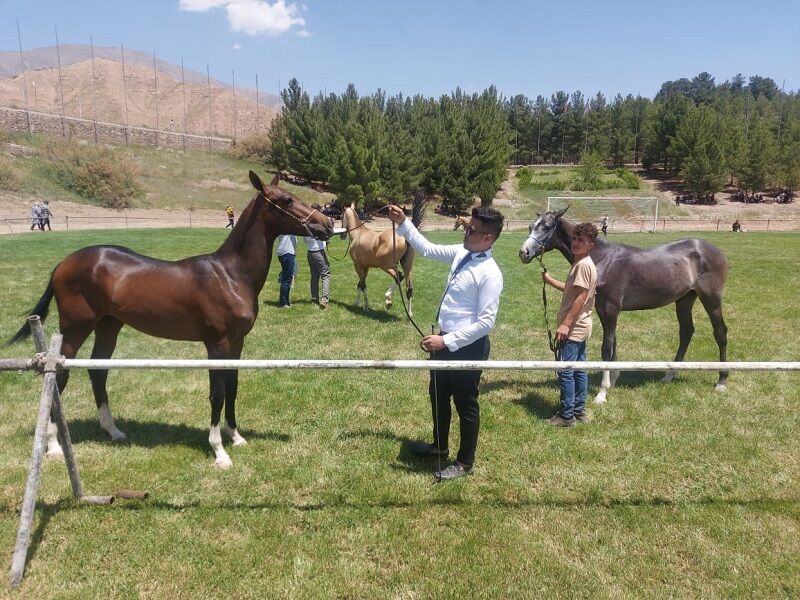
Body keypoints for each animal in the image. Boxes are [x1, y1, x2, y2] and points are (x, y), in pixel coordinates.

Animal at [6, 170, 332, 468]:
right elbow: (216, 393)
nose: (327, 224)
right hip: (74, 329)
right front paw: (219, 450)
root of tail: (64, 263)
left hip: (108, 326)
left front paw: (237, 437)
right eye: (286, 200)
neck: (230, 275)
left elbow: (232, 388)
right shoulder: (216, 344)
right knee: (59, 375)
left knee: (98, 372)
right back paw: (53, 446)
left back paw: (113, 431)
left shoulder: (237, 343)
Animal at [520, 210, 732, 404]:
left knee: (720, 332)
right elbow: (613, 343)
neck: (602, 258)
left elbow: (606, 347)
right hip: (685, 300)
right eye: (531, 226)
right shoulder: (602, 310)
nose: (524, 253)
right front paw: (613, 380)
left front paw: (602, 392)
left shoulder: (611, 309)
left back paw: (722, 380)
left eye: (547, 227)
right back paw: (669, 375)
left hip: (711, 299)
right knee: (686, 332)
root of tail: (714, 250)